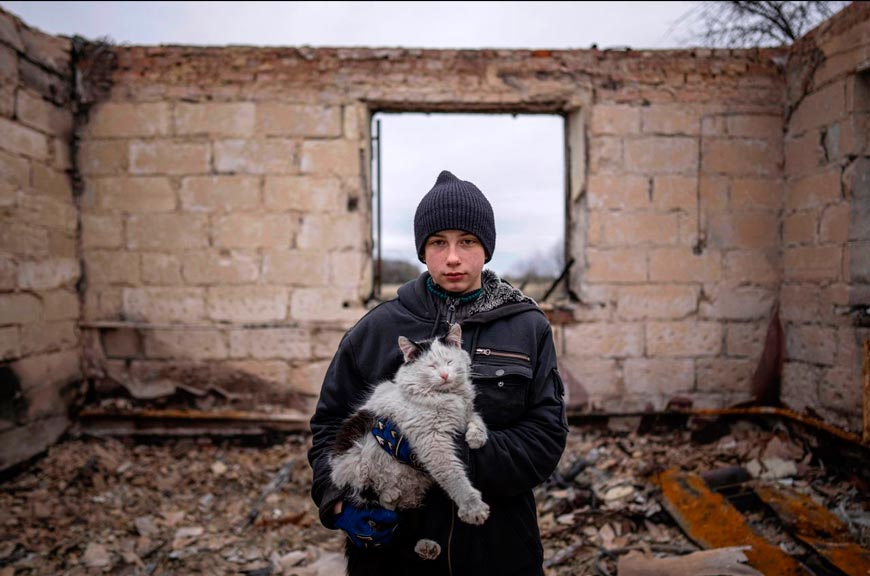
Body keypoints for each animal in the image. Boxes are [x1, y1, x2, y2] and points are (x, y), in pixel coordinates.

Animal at [330, 322, 490, 560]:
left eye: (449, 362)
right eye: (432, 366)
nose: (445, 375)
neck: (449, 397)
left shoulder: (465, 414)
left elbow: (476, 419)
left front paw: (476, 438)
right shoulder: (433, 443)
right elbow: (454, 476)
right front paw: (473, 508)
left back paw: (427, 546)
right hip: (356, 463)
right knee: (371, 497)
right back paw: (390, 495)